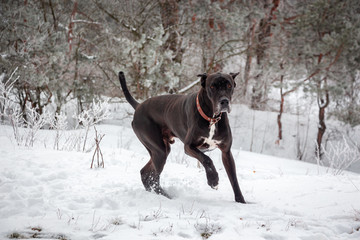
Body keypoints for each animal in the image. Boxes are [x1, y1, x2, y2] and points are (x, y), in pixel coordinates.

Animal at [119, 71, 246, 202]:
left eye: (229, 85)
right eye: (212, 86)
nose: (224, 101)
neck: (212, 119)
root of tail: (138, 106)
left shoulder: (226, 152)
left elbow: (234, 178)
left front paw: (241, 200)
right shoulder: (189, 147)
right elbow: (207, 159)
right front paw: (213, 180)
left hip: (160, 150)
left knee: (145, 173)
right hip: (159, 149)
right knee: (153, 176)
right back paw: (165, 197)